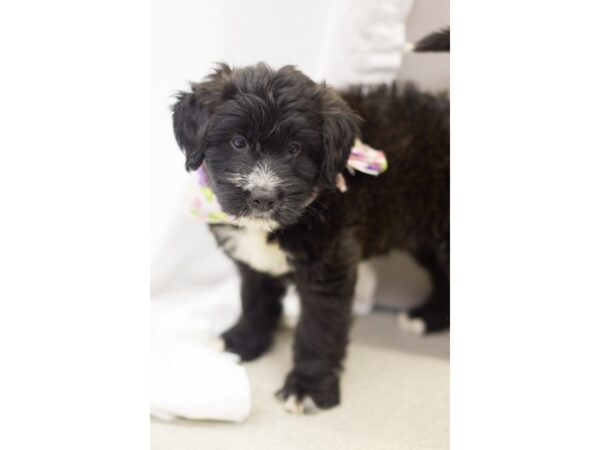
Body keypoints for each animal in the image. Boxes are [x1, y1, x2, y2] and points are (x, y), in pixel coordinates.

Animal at [171, 30, 448, 414]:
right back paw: (428, 317)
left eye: (294, 149)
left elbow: (318, 330)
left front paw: (308, 387)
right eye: (238, 142)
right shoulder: (254, 265)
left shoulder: (328, 270)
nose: (263, 198)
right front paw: (245, 342)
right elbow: (254, 300)